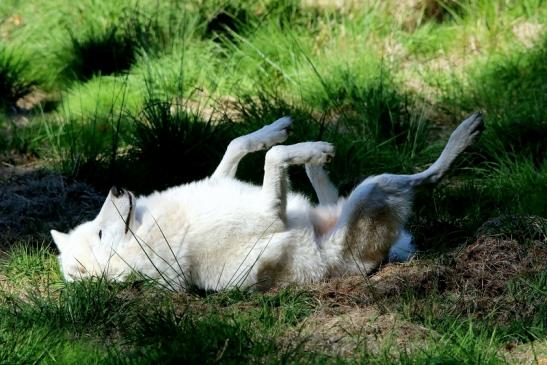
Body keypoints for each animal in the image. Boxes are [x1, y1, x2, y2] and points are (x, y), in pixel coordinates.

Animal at [50, 112, 484, 292]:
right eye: (102, 233)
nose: (116, 190)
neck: (156, 229)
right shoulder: (271, 214)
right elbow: (273, 158)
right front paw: (311, 147)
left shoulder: (222, 181)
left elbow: (239, 144)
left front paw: (278, 130)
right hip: (373, 189)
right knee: (428, 175)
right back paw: (465, 134)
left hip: (344, 201)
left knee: (323, 189)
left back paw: (312, 158)